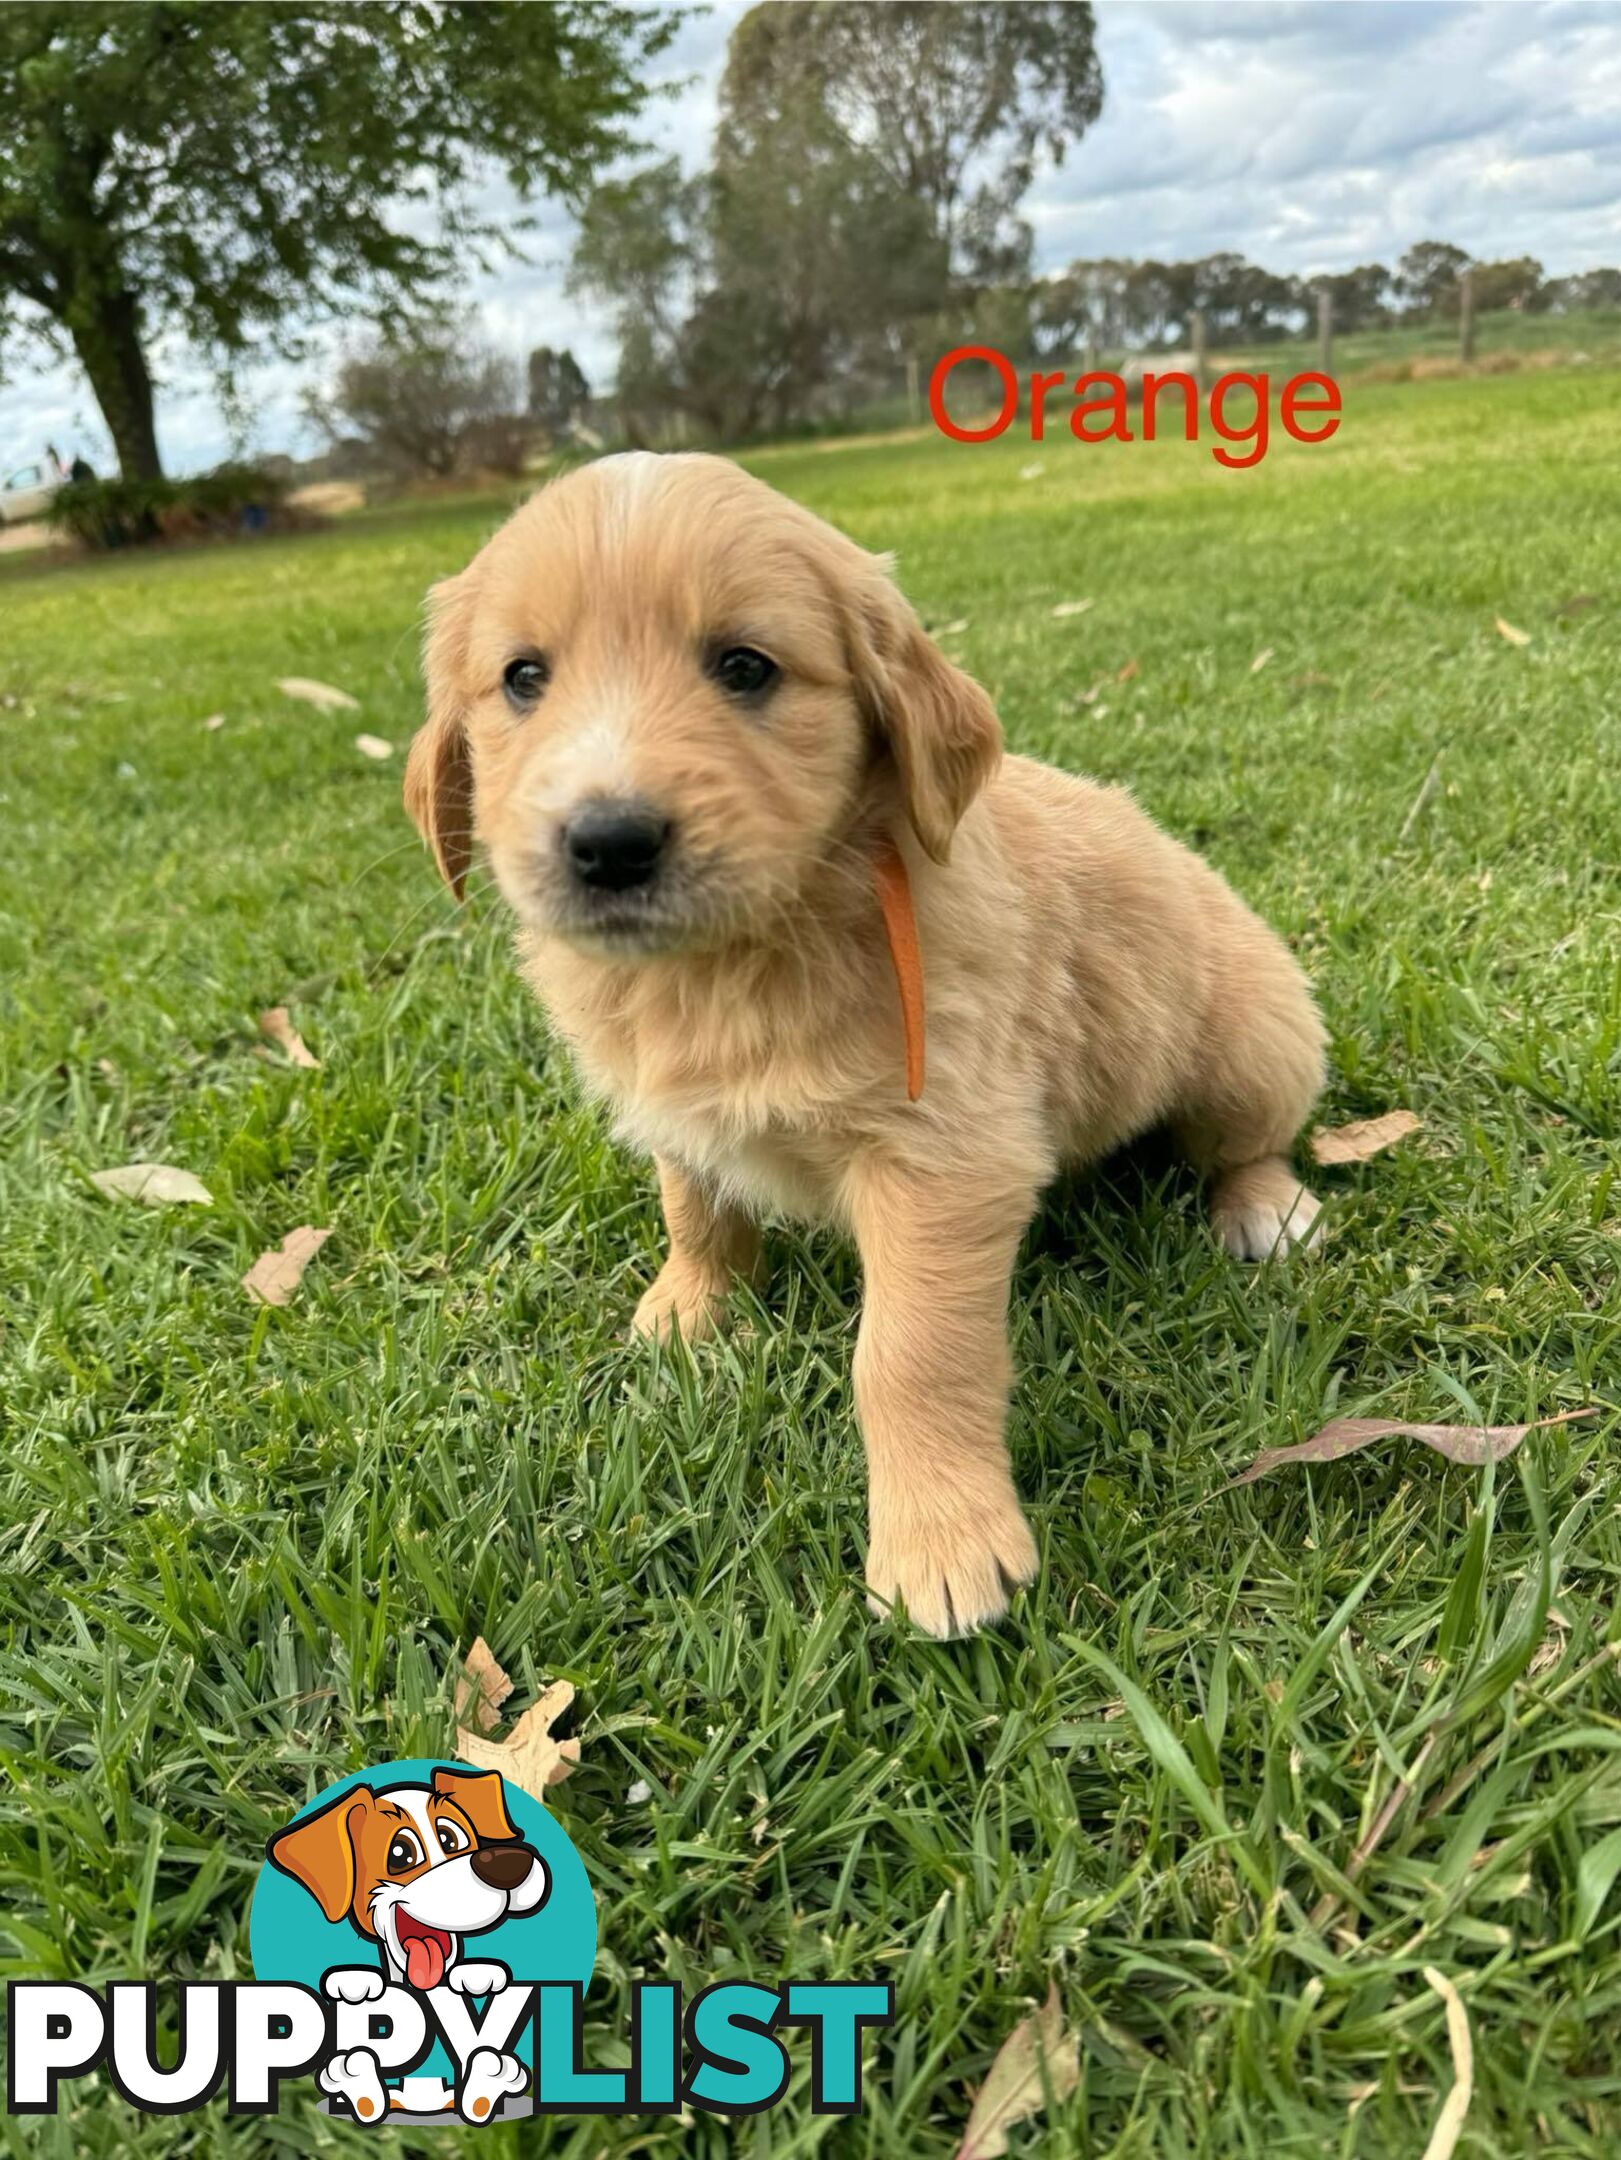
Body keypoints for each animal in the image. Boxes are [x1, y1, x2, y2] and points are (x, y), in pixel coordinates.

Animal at [404, 451, 1322, 1632]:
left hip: (1250, 1040)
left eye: (744, 668)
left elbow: (908, 1354)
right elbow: (694, 1202)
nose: (607, 842)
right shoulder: (677, 1105)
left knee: (1249, 1139)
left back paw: (1264, 1209)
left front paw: (943, 1543)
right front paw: (691, 1307)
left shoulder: (945, 1156)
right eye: (522, 678)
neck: (729, 962)